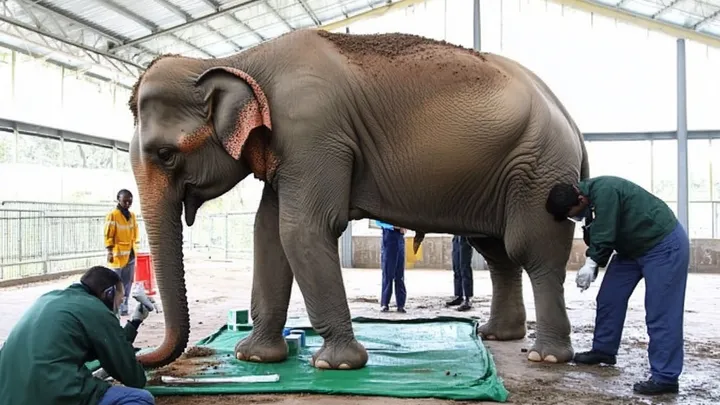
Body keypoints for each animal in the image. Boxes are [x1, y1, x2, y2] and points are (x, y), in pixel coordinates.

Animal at [128, 29, 589, 371]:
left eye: (165, 154)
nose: (139, 350)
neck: (239, 59)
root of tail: (569, 118)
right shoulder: (290, 148)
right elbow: (269, 233)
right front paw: (255, 357)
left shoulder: (313, 131)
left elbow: (303, 229)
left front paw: (337, 365)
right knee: (497, 251)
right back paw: (499, 336)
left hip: (540, 170)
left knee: (531, 250)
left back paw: (546, 356)